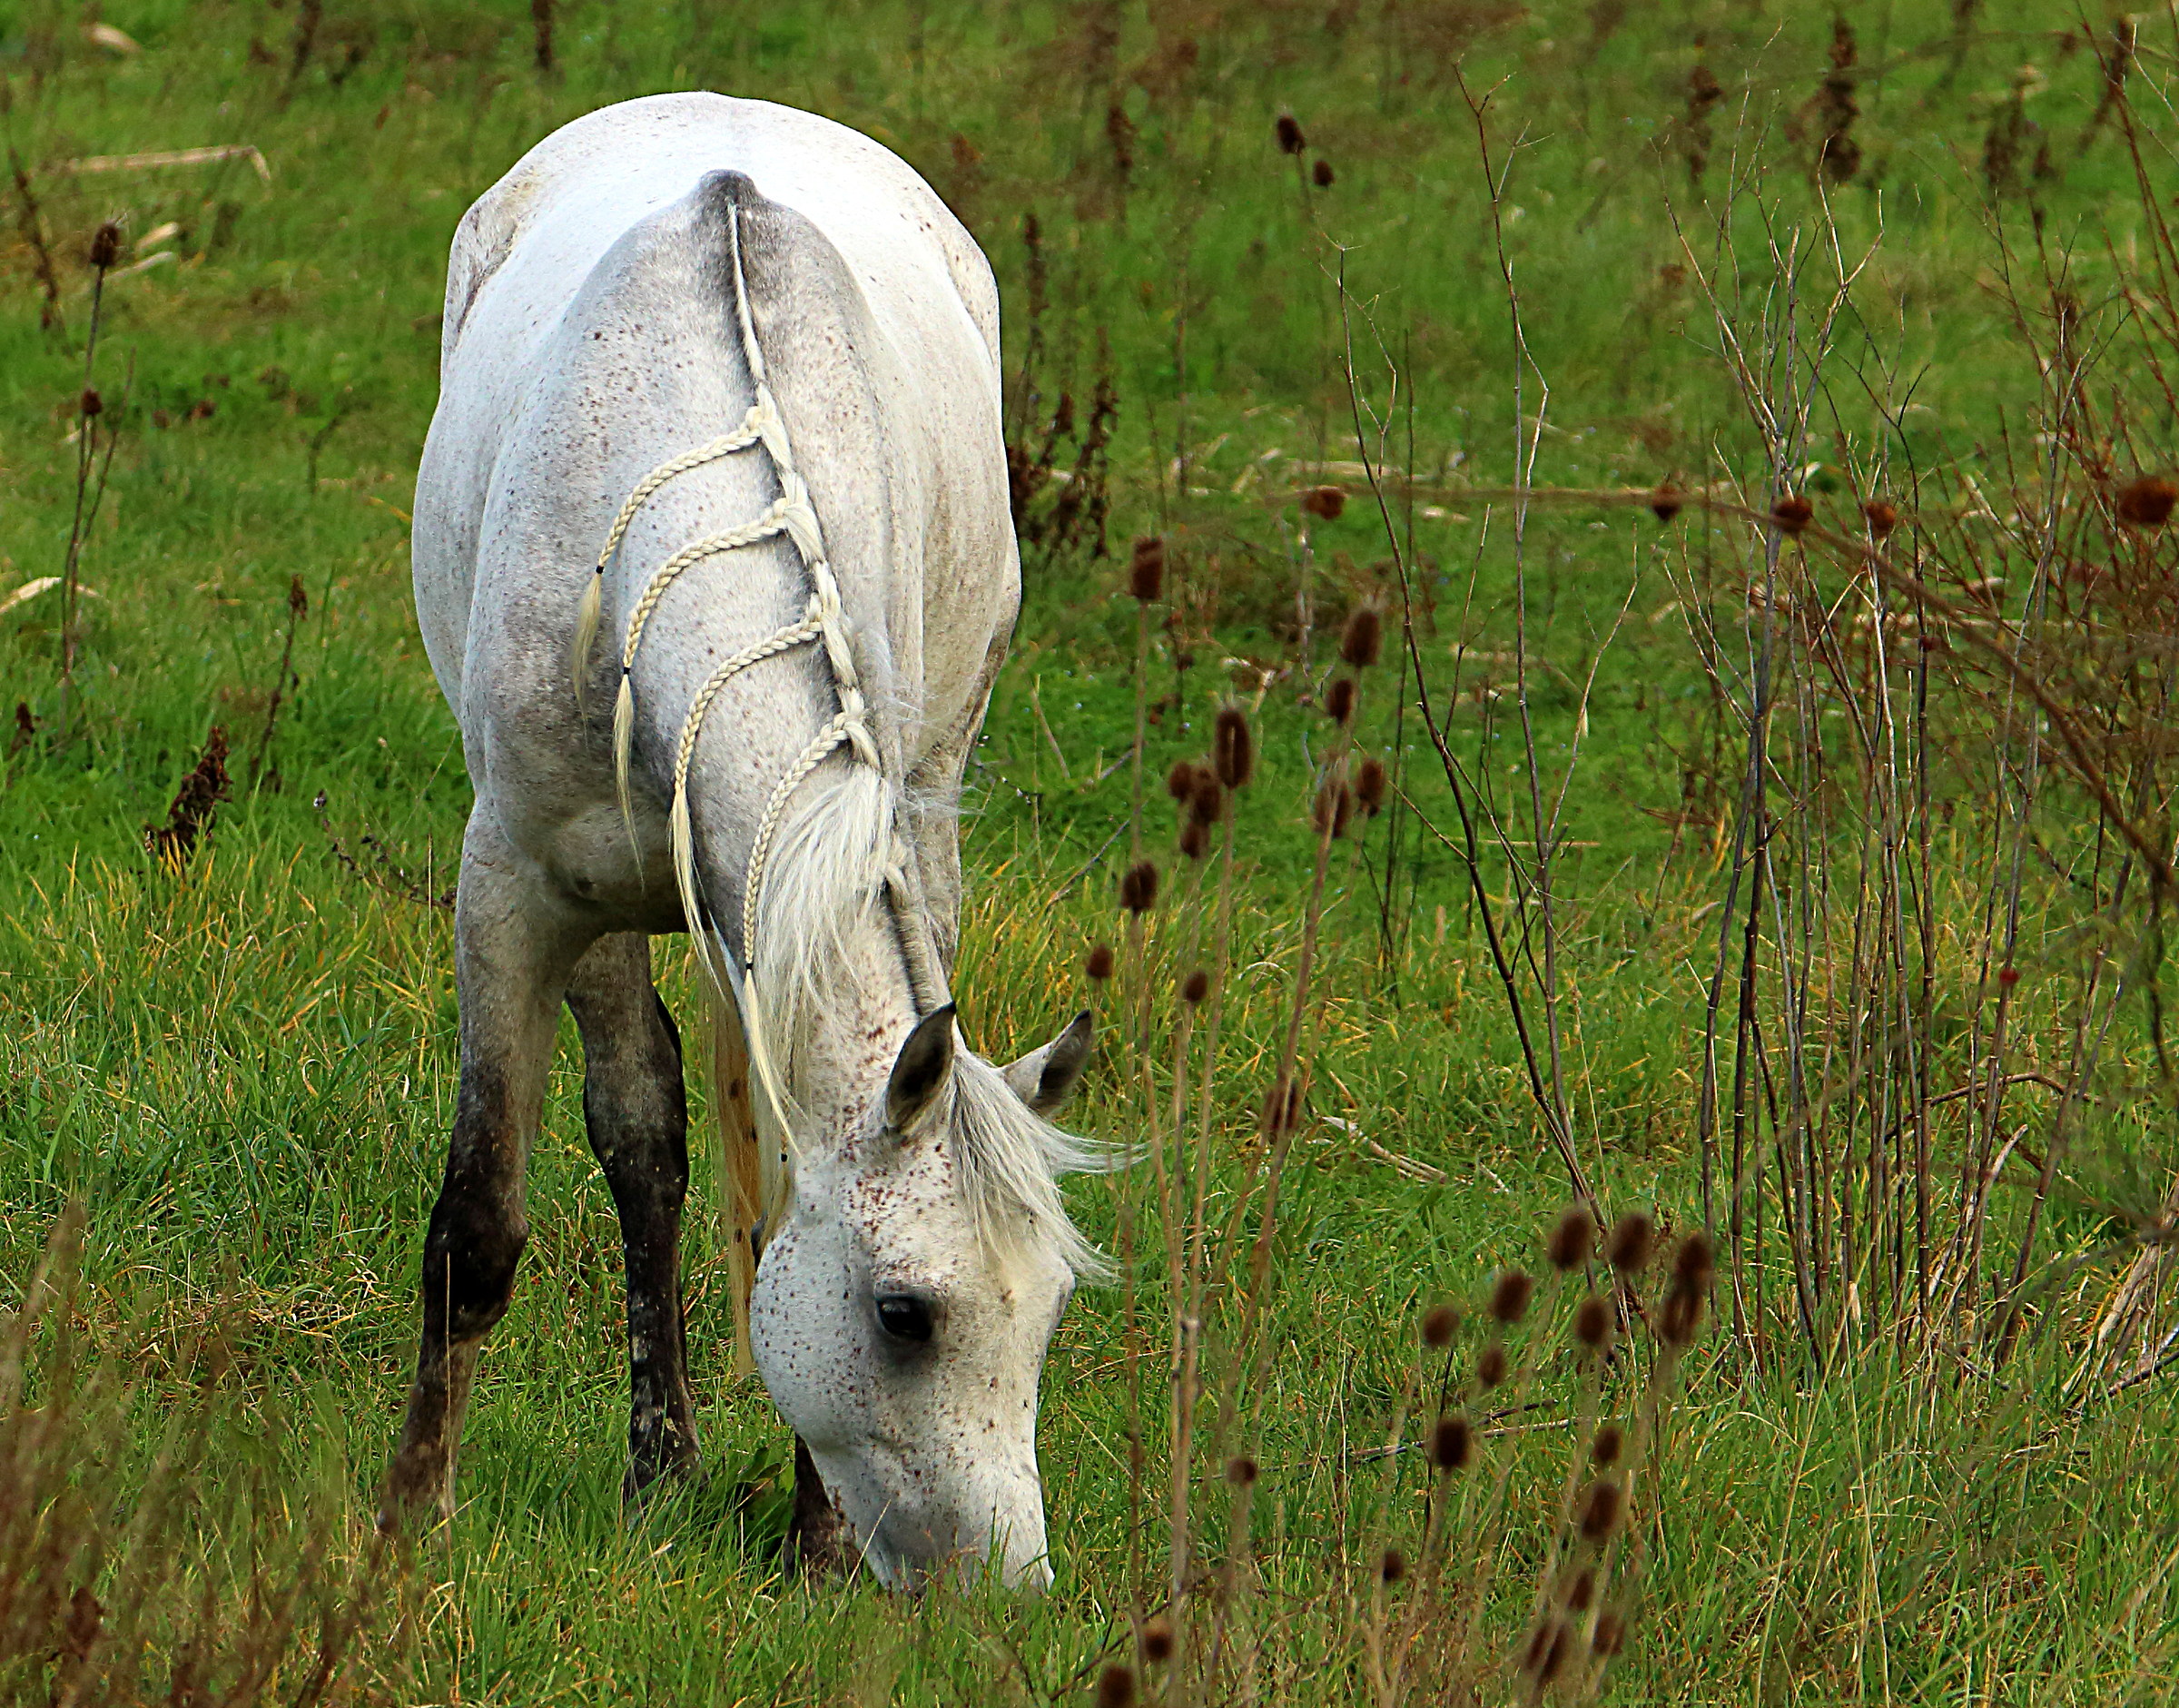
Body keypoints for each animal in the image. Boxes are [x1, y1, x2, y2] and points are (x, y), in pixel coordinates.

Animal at [389, 91, 1105, 1591]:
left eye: (1052, 1311)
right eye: (905, 1314)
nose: (1006, 1594)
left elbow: (783, 1188)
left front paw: (817, 1541)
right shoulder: (516, 895)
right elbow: (484, 1220)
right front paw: (410, 1516)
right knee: (640, 1133)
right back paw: (656, 1467)